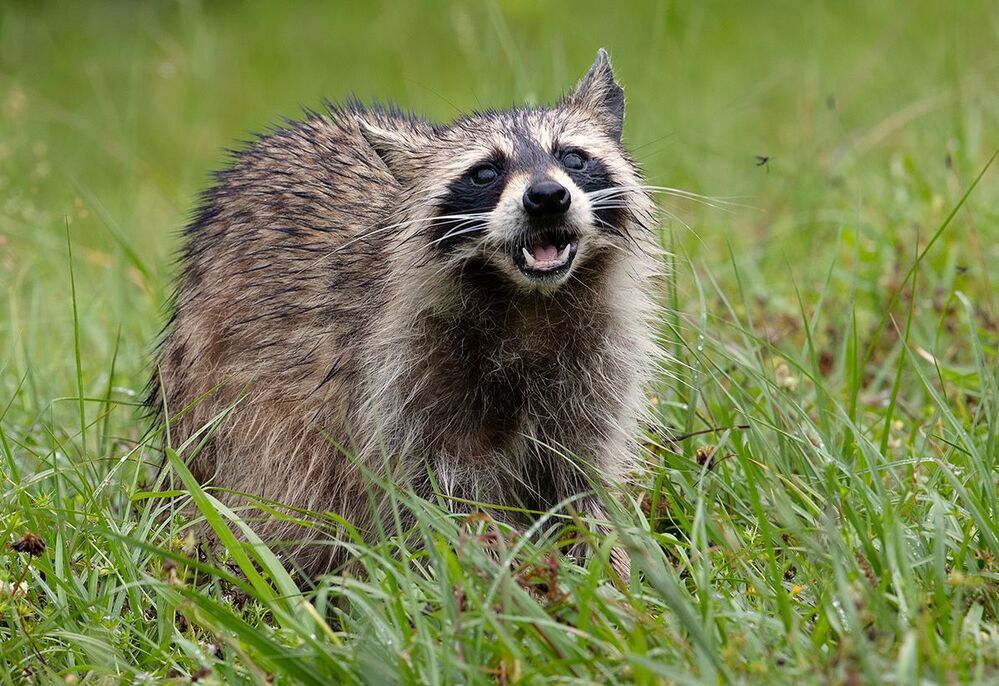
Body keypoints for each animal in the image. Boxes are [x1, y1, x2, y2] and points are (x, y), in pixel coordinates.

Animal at [151, 50, 660, 576]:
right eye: (485, 172)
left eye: (573, 157)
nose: (546, 197)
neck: (529, 301)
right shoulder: (406, 376)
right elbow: (441, 500)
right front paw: (490, 567)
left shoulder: (596, 365)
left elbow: (580, 480)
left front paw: (605, 559)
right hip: (216, 400)